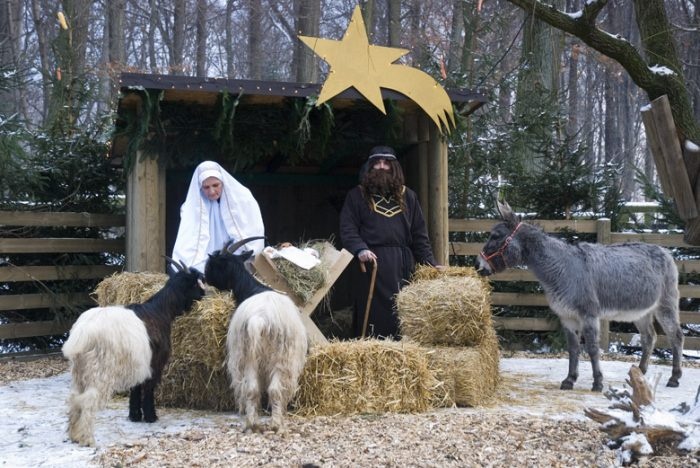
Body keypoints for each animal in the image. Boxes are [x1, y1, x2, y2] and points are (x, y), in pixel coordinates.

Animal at [61, 260, 204, 446]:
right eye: (194, 283)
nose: (204, 294)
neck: (160, 311)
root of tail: (82, 333)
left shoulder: (137, 363)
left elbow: (135, 387)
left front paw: (134, 415)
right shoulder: (154, 363)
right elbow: (148, 387)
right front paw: (150, 416)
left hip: (80, 371)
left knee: (75, 398)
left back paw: (73, 434)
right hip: (99, 370)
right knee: (88, 400)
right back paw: (86, 438)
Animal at [205, 238, 308, 436]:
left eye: (213, 263)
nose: (204, 277)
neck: (253, 288)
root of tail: (259, 319)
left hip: (249, 355)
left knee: (254, 389)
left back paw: (254, 424)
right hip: (276, 357)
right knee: (272, 389)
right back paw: (275, 425)